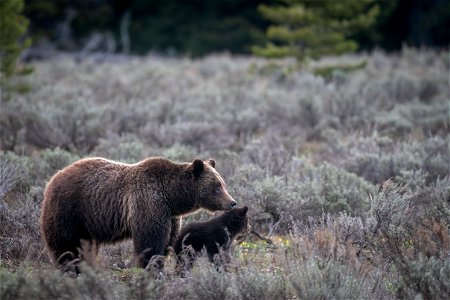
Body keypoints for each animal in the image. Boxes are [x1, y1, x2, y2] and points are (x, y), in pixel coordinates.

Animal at [39, 158, 237, 274]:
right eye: (216, 187)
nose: (232, 202)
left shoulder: (170, 216)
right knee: (66, 245)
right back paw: (71, 268)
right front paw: (150, 269)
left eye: (223, 184)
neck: (171, 197)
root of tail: (53, 178)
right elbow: (150, 241)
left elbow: (167, 241)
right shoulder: (148, 203)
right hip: (70, 211)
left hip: (87, 223)